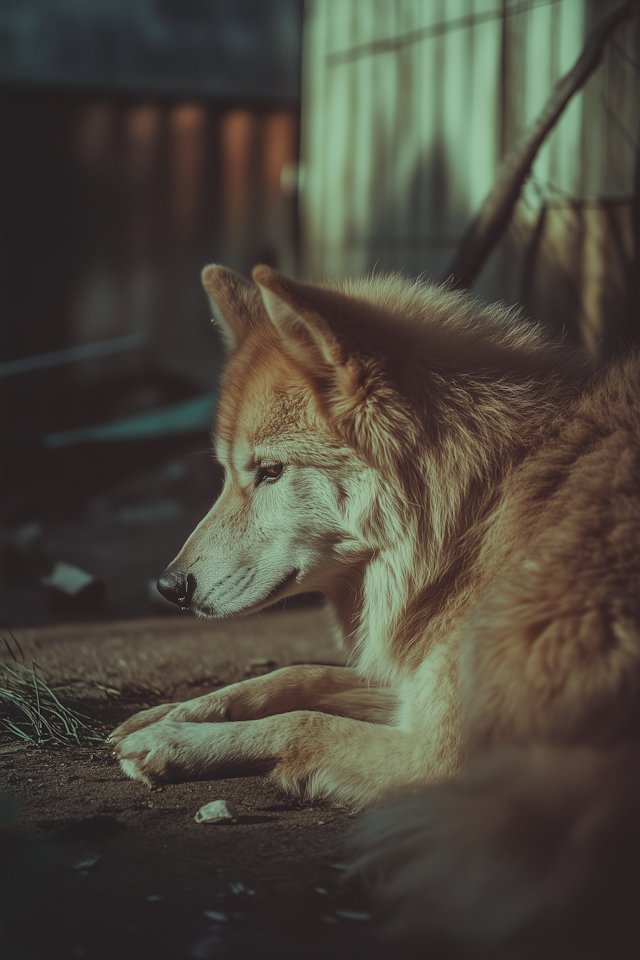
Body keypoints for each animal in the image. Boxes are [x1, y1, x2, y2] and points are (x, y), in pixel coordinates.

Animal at [111, 266, 640, 956]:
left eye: (271, 471)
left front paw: (172, 741)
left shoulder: (442, 757)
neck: (485, 506)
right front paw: (172, 714)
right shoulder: (414, 685)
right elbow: (295, 676)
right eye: (227, 473)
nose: (168, 586)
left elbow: (304, 722)